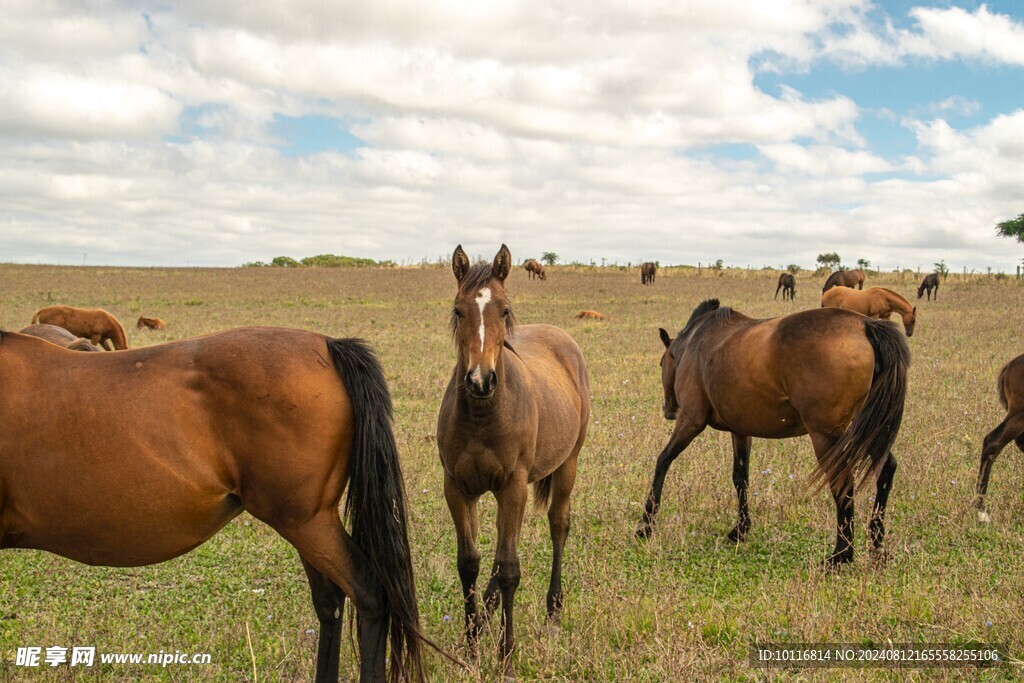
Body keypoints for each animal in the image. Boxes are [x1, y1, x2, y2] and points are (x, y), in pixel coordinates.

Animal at [436, 244, 589, 679]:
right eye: (458, 310)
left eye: (504, 310)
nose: (479, 380)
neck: (482, 415)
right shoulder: (457, 488)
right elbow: (470, 563)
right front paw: (471, 647)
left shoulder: (513, 486)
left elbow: (509, 570)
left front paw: (505, 659)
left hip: (568, 464)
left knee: (558, 525)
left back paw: (553, 613)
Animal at [634, 301, 909, 569]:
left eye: (661, 364)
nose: (668, 410)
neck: (696, 340)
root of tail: (864, 325)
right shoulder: (740, 432)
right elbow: (740, 478)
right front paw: (740, 530)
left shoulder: (690, 421)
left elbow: (663, 461)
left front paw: (645, 525)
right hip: (869, 427)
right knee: (885, 470)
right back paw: (876, 542)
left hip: (827, 437)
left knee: (843, 484)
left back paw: (841, 554)